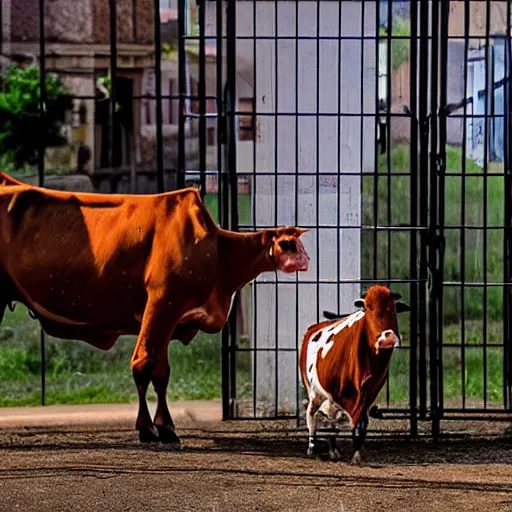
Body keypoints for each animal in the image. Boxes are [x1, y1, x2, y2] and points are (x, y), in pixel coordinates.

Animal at [0, 172, 310, 444]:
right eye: (287, 244)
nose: (307, 260)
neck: (220, 253)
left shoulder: (171, 316)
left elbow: (161, 373)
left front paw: (165, 425)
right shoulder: (162, 302)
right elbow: (143, 363)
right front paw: (146, 428)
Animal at [298, 284, 410, 464]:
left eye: (392, 308)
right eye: (368, 308)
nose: (387, 338)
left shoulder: (368, 392)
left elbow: (360, 422)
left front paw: (356, 452)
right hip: (313, 391)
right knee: (311, 415)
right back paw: (312, 447)